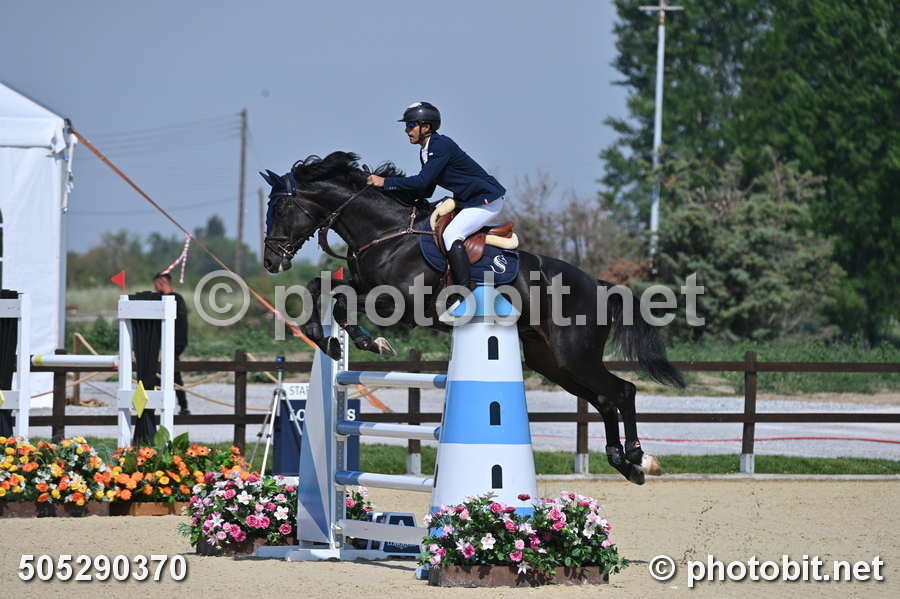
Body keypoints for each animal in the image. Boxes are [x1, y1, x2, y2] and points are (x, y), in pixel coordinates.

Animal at [261, 151, 685, 484]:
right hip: (551, 362)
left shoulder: (401, 302)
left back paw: (638, 457)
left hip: (573, 355)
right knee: (604, 398)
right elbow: (322, 288)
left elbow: (340, 301)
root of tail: (598, 285)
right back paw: (626, 463)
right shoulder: (363, 285)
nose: (270, 261)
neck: (387, 233)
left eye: (279, 208)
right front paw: (329, 339)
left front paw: (366, 342)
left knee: (621, 392)